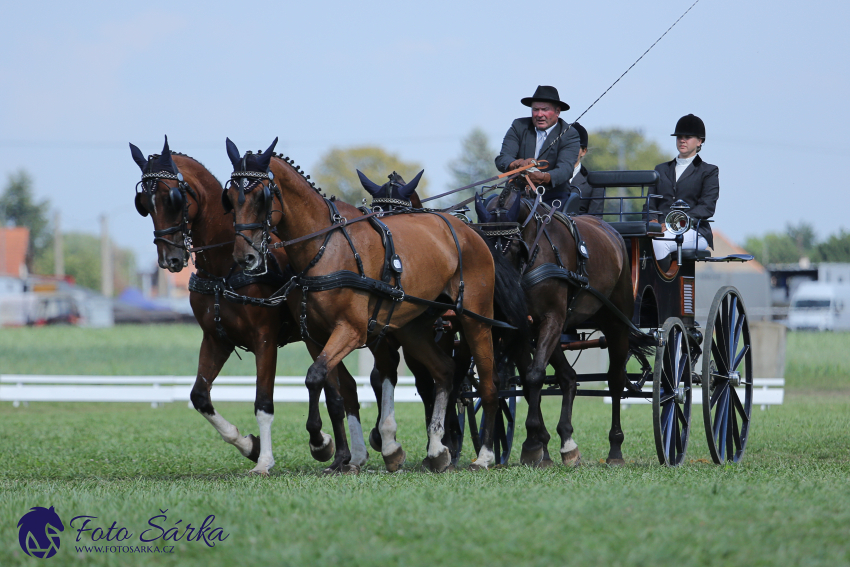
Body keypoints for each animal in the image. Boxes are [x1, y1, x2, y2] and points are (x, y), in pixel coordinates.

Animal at [130, 138, 364, 474]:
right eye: (144, 204)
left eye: (171, 197)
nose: (169, 259)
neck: (224, 268)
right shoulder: (216, 340)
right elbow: (199, 396)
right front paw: (248, 445)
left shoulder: (264, 339)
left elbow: (263, 402)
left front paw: (264, 460)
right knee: (343, 389)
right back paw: (348, 454)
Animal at [222, 139, 520, 474]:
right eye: (230, 197)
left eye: (261, 195)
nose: (245, 257)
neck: (326, 247)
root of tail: (470, 231)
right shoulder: (315, 337)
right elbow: (328, 385)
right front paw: (337, 451)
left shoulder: (352, 330)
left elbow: (316, 376)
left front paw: (320, 443)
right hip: (414, 328)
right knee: (444, 370)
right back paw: (437, 450)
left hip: (475, 319)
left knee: (490, 384)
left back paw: (484, 454)